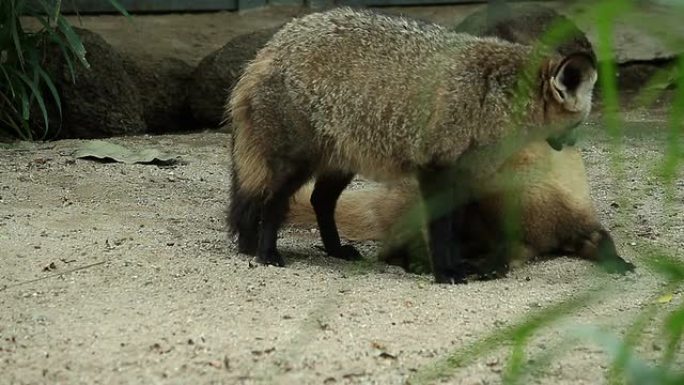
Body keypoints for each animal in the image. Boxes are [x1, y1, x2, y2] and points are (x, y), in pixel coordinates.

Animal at [228, 6, 600, 282]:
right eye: (578, 122)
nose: (572, 144)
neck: (494, 98)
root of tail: (272, 46)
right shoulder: (435, 169)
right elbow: (440, 231)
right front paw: (445, 272)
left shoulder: (464, 176)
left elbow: (455, 230)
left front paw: (458, 265)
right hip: (298, 164)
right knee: (271, 202)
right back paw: (266, 253)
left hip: (341, 163)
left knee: (318, 201)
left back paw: (330, 249)